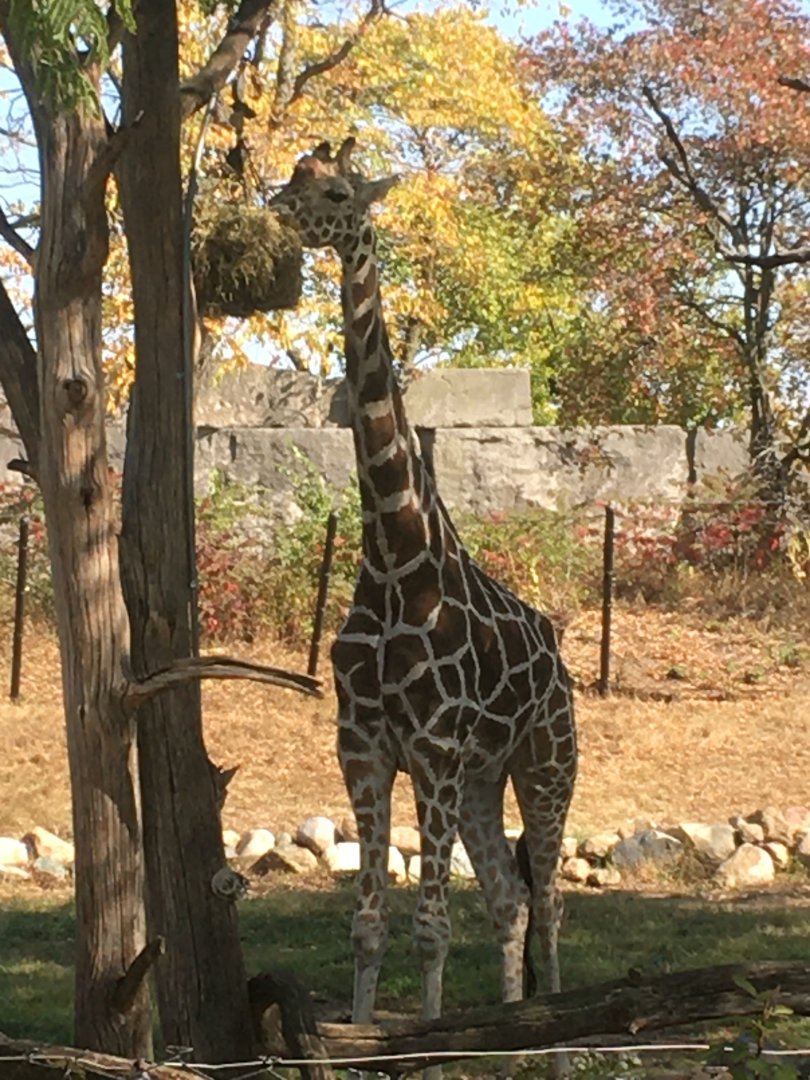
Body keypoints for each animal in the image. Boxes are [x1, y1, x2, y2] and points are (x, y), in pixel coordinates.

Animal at [271, 138, 577, 1072]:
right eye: (293, 176)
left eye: (337, 191)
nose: (276, 209)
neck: (394, 555)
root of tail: (562, 664)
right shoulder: (365, 747)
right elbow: (368, 925)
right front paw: (367, 1038)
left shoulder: (434, 749)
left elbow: (430, 929)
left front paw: (432, 1045)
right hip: (483, 778)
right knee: (511, 897)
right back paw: (514, 1040)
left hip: (546, 765)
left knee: (549, 899)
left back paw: (559, 1046)